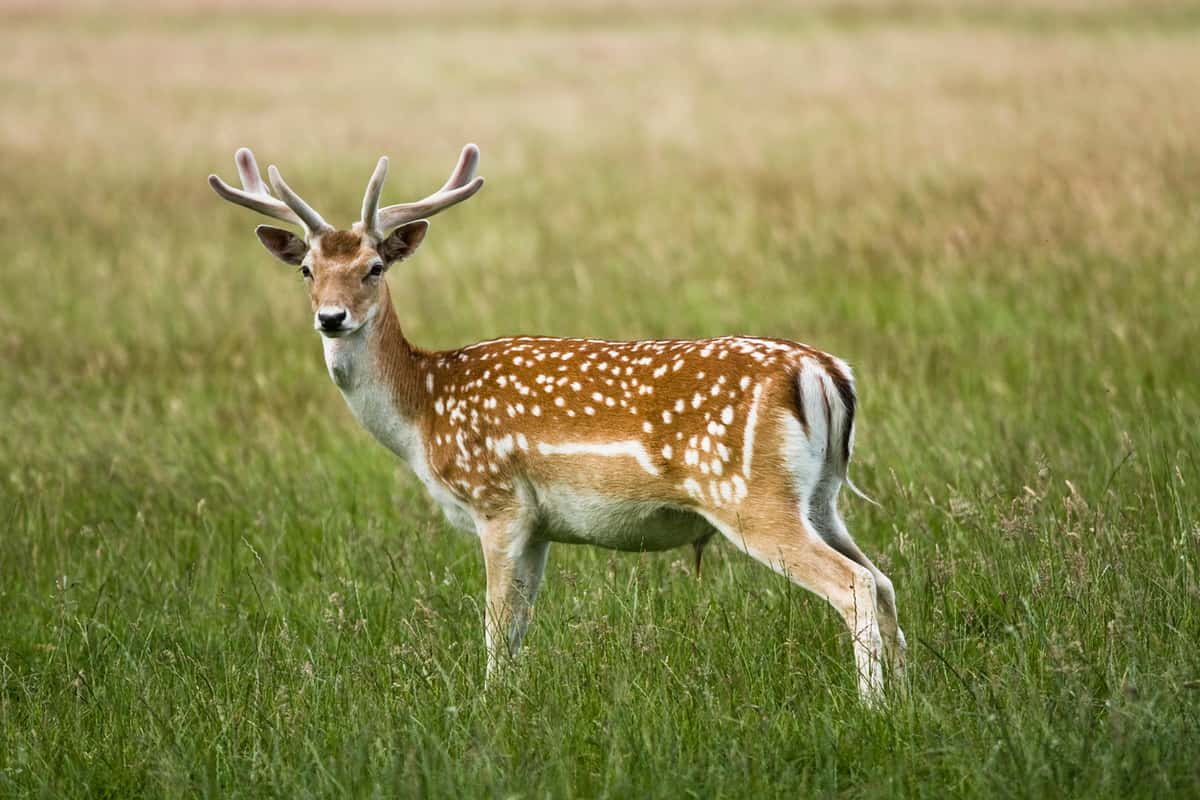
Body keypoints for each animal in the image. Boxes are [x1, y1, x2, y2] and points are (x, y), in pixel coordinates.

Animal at [208, 144, 906, 704]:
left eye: (373, 268)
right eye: (307, 270)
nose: (331, 318)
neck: (423, 412)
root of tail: (824, 373)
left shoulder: (497, 502)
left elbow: (496, 626)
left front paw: (488, 707)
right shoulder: (540, 524)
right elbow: (519, 626)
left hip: (751, 496)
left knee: (853, 585)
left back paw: (870, 708)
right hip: (819, 498)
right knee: (883, 579)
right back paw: (906, 700)